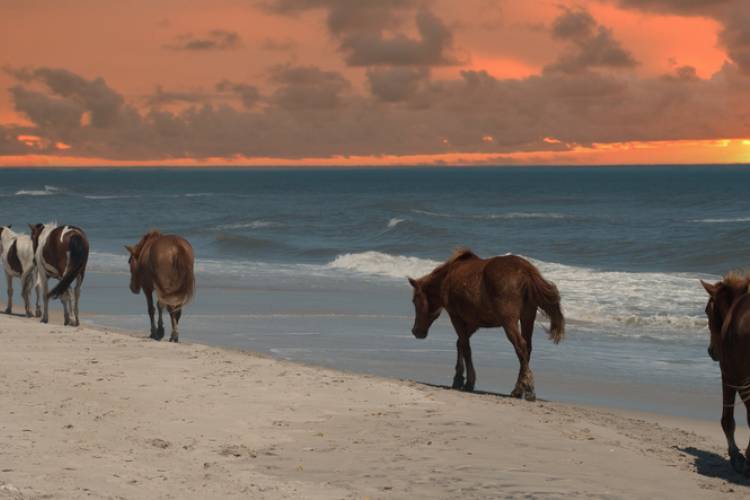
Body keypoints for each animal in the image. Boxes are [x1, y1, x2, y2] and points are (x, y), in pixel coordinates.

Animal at [412, 250, 564, 402]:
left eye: (414, 300)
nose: (416, 331)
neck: (447, 277)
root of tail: (525, 270)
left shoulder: (457, 318)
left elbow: (465, 347)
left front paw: (468, 381)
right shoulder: (474, 323)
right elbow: (460, 344)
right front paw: (459, 378)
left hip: (509, 321)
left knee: (520, 346)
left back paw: (526, 389)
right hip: (527, 317)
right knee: (527, 348)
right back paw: (520, 389)